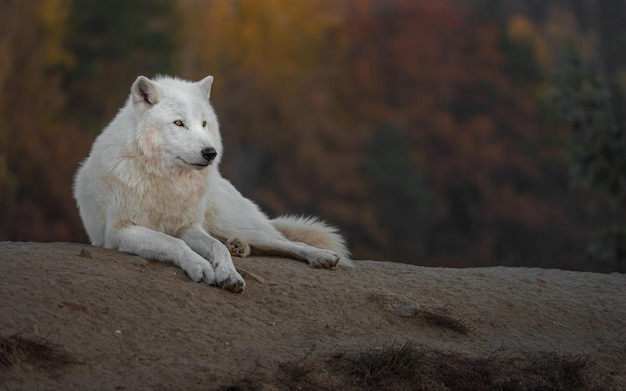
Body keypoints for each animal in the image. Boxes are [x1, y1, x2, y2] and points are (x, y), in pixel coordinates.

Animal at [73, 75, 352, 292]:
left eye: (204, 123)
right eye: (178, 123)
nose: (210, 153)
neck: (167, 180)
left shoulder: (188, 226)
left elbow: (217, 248)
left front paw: (229, 274)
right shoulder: (119, 231)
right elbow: (173, 242)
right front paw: (201, 266)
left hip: (230, 224)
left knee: (282, 241)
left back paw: (319, 256)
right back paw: (240, 247)